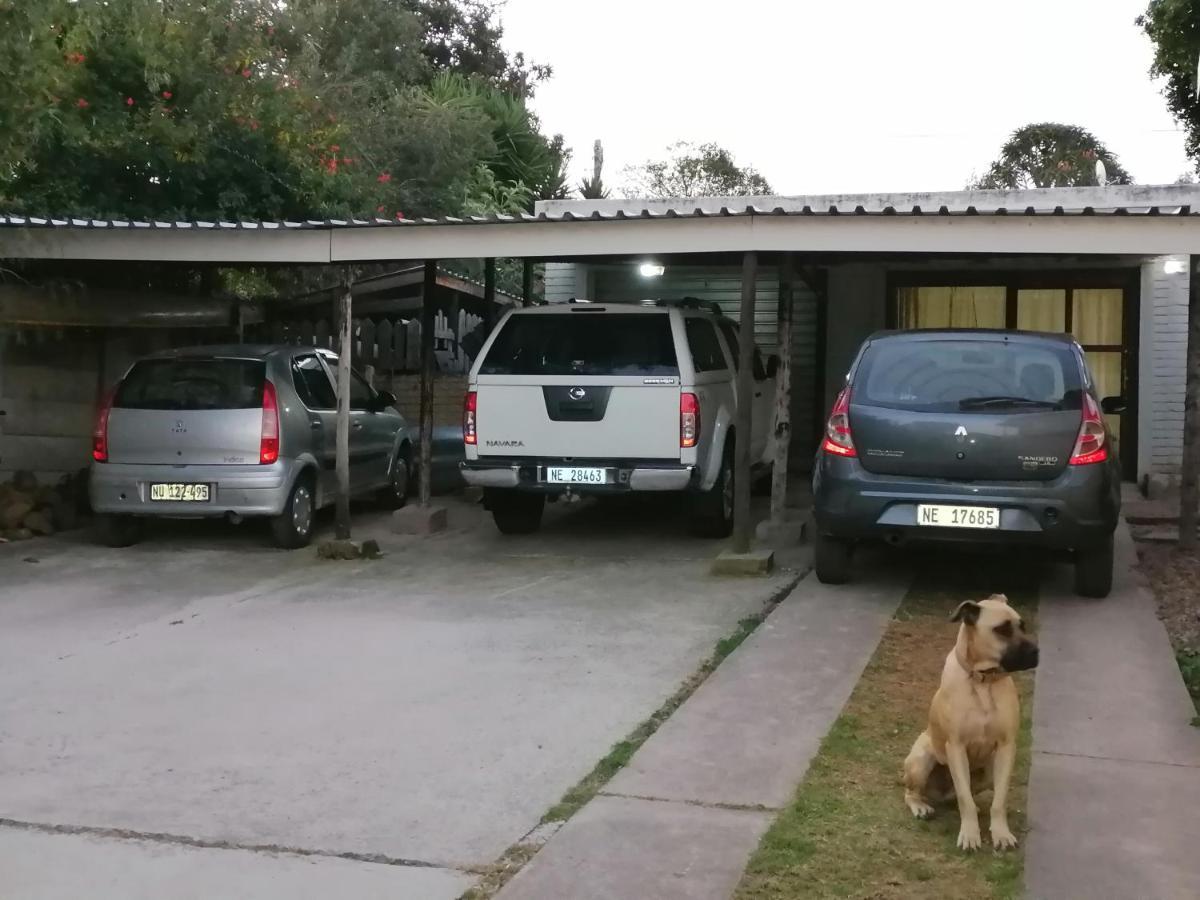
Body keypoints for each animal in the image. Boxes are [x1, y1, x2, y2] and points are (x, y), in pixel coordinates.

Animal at [902, 595, 1036, 854]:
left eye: (1022, 626)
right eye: (1002, 629)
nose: (1036, 652)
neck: (983, 680)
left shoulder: (1006, 747)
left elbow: (998, 801)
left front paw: (1001, 833)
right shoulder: (956, 747)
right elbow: (965, 798)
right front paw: (970, 835)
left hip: (988, 771)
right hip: (921, 760)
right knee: (912, 792)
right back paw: (921, 806)